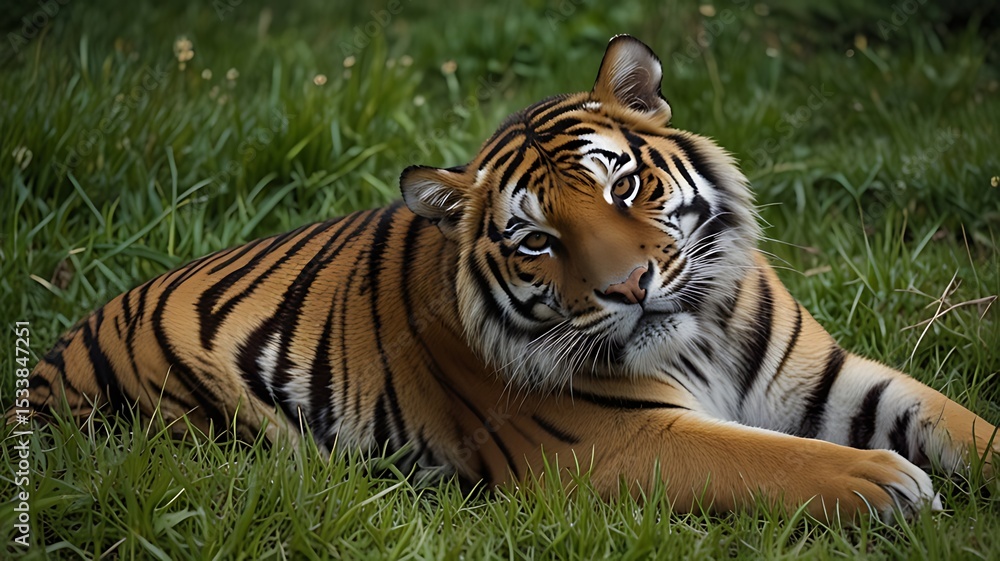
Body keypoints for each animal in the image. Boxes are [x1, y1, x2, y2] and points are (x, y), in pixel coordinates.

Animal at [19, 35, 998, 521]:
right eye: (536, 240)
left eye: (623, 185)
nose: (629, 285)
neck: (702, 334)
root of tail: (46, 360)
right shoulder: (614, 440)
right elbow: (769, 458)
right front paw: (886, 483)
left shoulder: (828, 376)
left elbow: (958, 421)